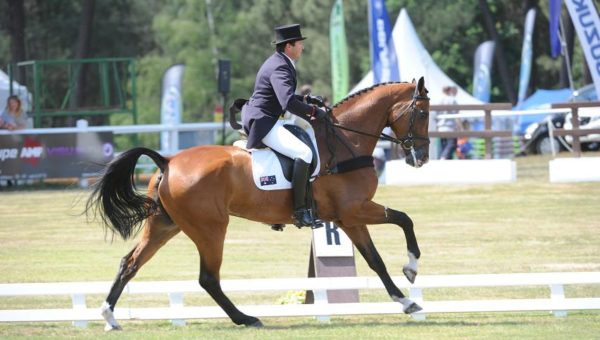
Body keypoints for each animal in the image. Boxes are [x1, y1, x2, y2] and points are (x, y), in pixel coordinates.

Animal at [86, 77, 428, 330]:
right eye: (424, 113)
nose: (421, 157)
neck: (344, 144)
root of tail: (167, 161)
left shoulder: (349, 218)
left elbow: (376, 259)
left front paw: (406, 301)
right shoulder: (355, 210)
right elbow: (404, 219)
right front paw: (411, 269)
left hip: (164, 225)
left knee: (130, 263)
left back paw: (109, 316)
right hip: (210, 229)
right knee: (208, 278)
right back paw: (246, 318)